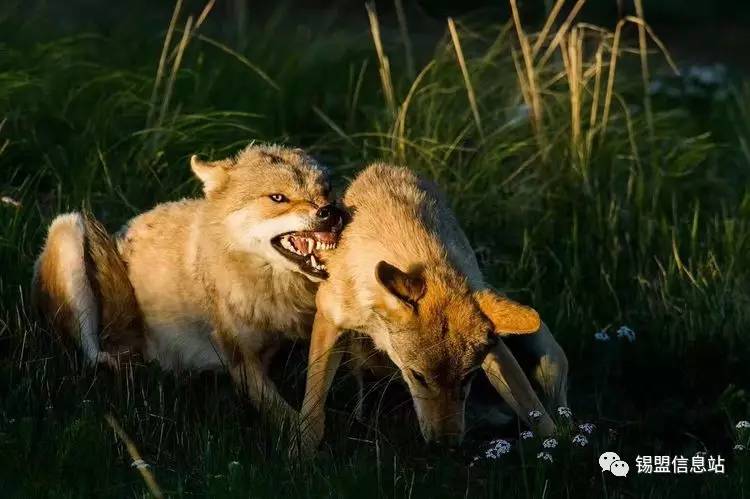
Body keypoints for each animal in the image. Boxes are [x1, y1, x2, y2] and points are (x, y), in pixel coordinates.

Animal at [32, 145, 344, 426]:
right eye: (278, 197)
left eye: (326, 191)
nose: (330, 212)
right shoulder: (241, 361)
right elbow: (288, 420)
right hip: (68, 228)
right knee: (96, 358)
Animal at [302, 163, 568, 450]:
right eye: (418, 376)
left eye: (468, 377)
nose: (446, 445)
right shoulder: (329, 320)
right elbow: (313, 403)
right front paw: (302, 449)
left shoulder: (495, 348)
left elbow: (532, 407)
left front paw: (561, 445)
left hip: (548, 358)